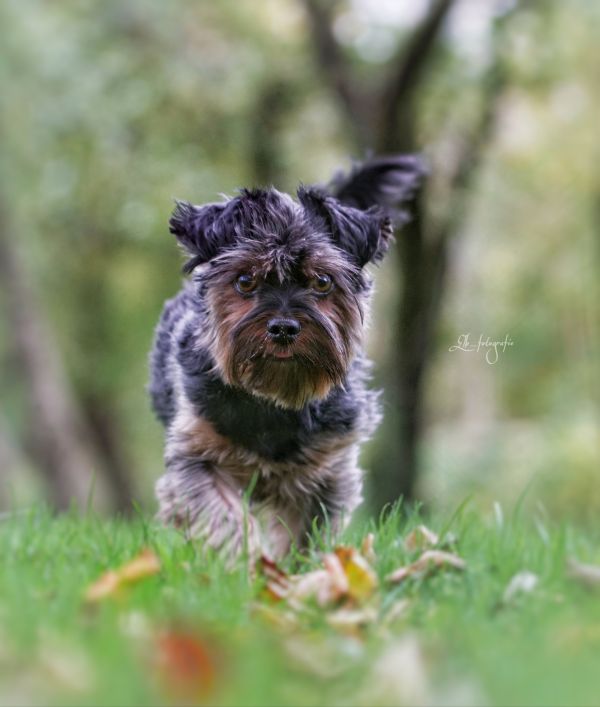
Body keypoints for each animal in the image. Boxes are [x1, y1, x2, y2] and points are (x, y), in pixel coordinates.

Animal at [149, 155, 422, 560]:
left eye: (322, 281)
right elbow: (221, 515)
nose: (282, 327)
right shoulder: (197, 453)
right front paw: (243, 563)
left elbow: (305, 530)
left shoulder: (326, 466)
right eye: (245, 280)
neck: (273, 399)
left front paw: (296, 570)